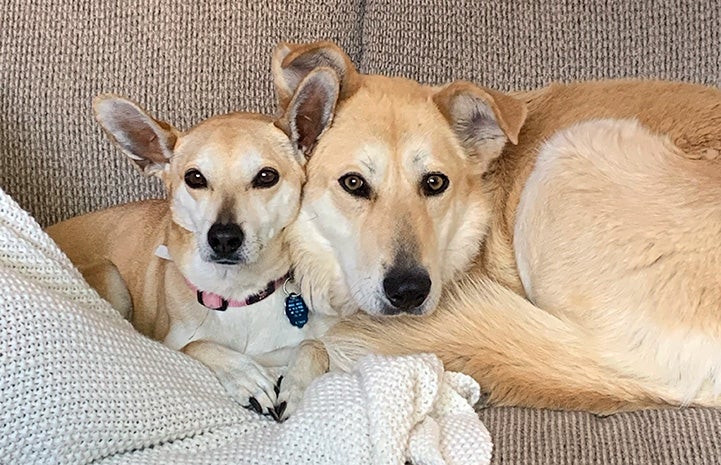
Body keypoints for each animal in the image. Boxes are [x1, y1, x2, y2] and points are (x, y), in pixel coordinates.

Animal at [46, 67, 342, 418]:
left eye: (266, 176)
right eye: (195, 178)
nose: (224, 238)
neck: (237, 294)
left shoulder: (299, 343)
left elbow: (314, 345)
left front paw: (296, 386)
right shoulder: (173, 342)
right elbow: (196, 344)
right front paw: (246, 376)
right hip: (110, 275)